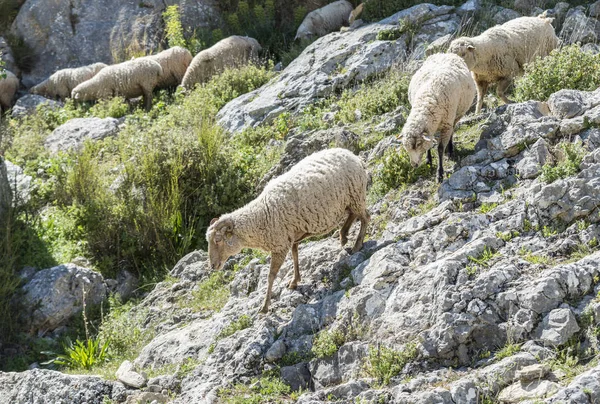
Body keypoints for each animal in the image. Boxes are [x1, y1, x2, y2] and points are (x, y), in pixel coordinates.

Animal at [206, 148, 368, 312]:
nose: (212, 266)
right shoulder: (292, 236)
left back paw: (356, 245)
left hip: (356, 195)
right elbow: (295, 255)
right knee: (354, 215)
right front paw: (295, 281)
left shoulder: (280, 245)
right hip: (349, 201)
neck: (261, 215)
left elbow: (271, 275)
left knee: (366, 217)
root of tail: (353, 155)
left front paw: (265, 306)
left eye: (218, 240)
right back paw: (343, 235)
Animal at [400, 52, 476, 182]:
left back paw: (450, 150)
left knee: (452, 131)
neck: (426, 100)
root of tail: (445, 53)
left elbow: (440, 149)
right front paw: (428, 160)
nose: (414, 165)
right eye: (406, 147)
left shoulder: (446, 124)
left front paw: (439, 173)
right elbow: (429, 144)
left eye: (418, 144)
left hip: (455, 116)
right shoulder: (430, 128)